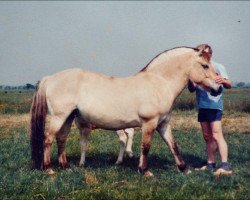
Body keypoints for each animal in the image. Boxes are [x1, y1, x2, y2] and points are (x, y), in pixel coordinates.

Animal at [30, 44, 222, 177]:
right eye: (205, 65)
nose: (218, 88)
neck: (159, 82)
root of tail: (50, 78)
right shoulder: (149, 123)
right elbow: (146, 146)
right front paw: (144, 171)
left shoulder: (163, 124)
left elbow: (173, 145)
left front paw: (184, 168)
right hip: (59, 117)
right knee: (48, 138)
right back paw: (48, 169)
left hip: (68, 117)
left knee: (61, 138)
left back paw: (65, 167)